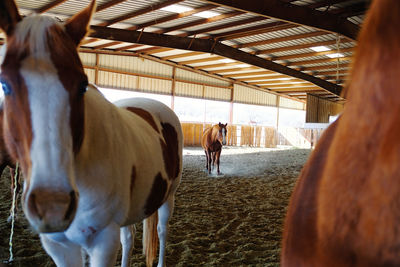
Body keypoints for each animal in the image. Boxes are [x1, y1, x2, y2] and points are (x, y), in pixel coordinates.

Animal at [0, 0, 184, 267]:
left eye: (82, 84)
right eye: (5, 84)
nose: (53, 206)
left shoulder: (103, 242)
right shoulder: (59, 247)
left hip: (168, 196)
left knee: (161, 230)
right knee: (129, 238)